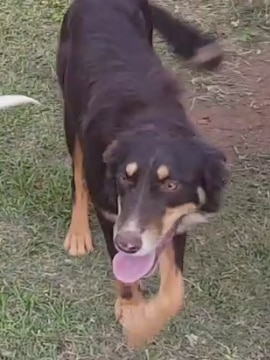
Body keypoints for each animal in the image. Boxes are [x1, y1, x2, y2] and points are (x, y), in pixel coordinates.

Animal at [57, 0, 228, 348]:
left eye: (171, 184)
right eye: (126, 178)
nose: (129, 243)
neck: (150, 120)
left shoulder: (175, 221)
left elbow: (174, 291)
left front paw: (146, 323)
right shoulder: (110, 212)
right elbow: (124, 275)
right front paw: (134, 312)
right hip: (71, 111)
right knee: (78, 177)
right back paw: (78, 234)